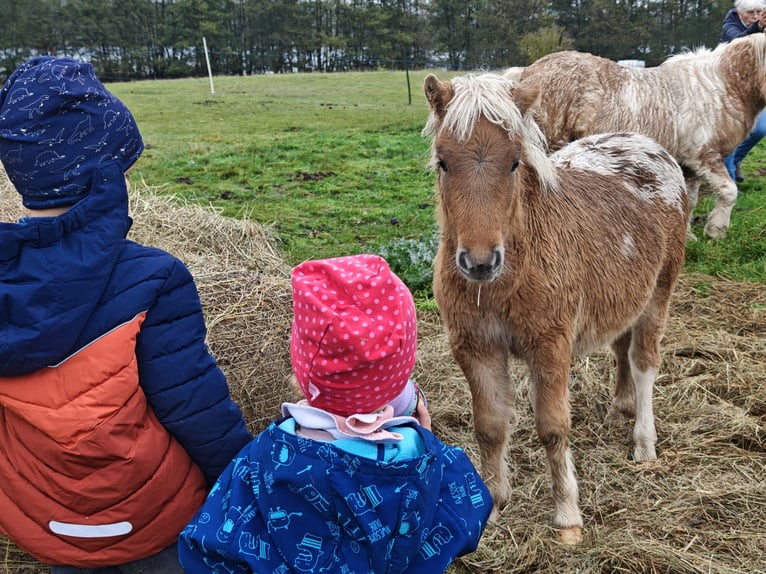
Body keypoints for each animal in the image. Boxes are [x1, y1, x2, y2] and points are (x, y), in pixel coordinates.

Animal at [422, 72, 689, 544]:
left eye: (514, 163)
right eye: (443, 162)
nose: (479, 261)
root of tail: (649, 146)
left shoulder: (550, 346)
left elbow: (552, 428)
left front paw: (567, 517)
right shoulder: (476, 347)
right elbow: (490, 427)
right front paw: (491, 506)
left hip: (659, 294)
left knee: (644, 363)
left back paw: (643, 442)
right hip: (623, 295)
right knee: (620, 350)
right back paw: (618, 409)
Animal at [512, 33, 766, 240]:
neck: (719, 86)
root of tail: (527, 73)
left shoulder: (690, 165)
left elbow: (690, 200)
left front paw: (688, 235)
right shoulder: (705, 156)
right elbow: (729, 190)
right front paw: (716, 230)